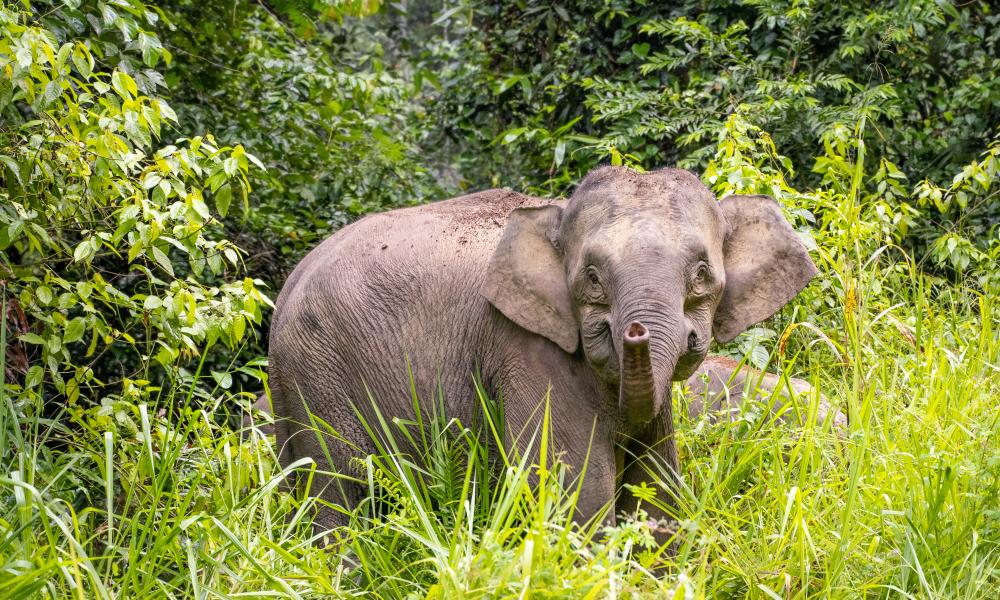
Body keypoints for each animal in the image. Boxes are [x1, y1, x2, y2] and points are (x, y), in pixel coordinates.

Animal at [268, 166, 820, 532]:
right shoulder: (527, 348)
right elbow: (576, 491)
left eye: (702, 274)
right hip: (319, 376)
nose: (634, 332)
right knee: (336, 495)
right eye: (592, 278)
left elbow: (657, 484)